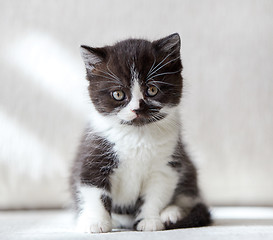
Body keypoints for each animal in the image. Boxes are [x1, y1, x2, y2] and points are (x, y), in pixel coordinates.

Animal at [70, 33, 210, 232]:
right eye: (118, 94)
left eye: (152, 90)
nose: (136, 108)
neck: (137, 134)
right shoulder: (94, 156)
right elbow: (94, 191)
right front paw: (95, 222)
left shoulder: (165, 165)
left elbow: (155, 194)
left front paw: (150, 220)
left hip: (188, 170)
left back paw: (172, 213)